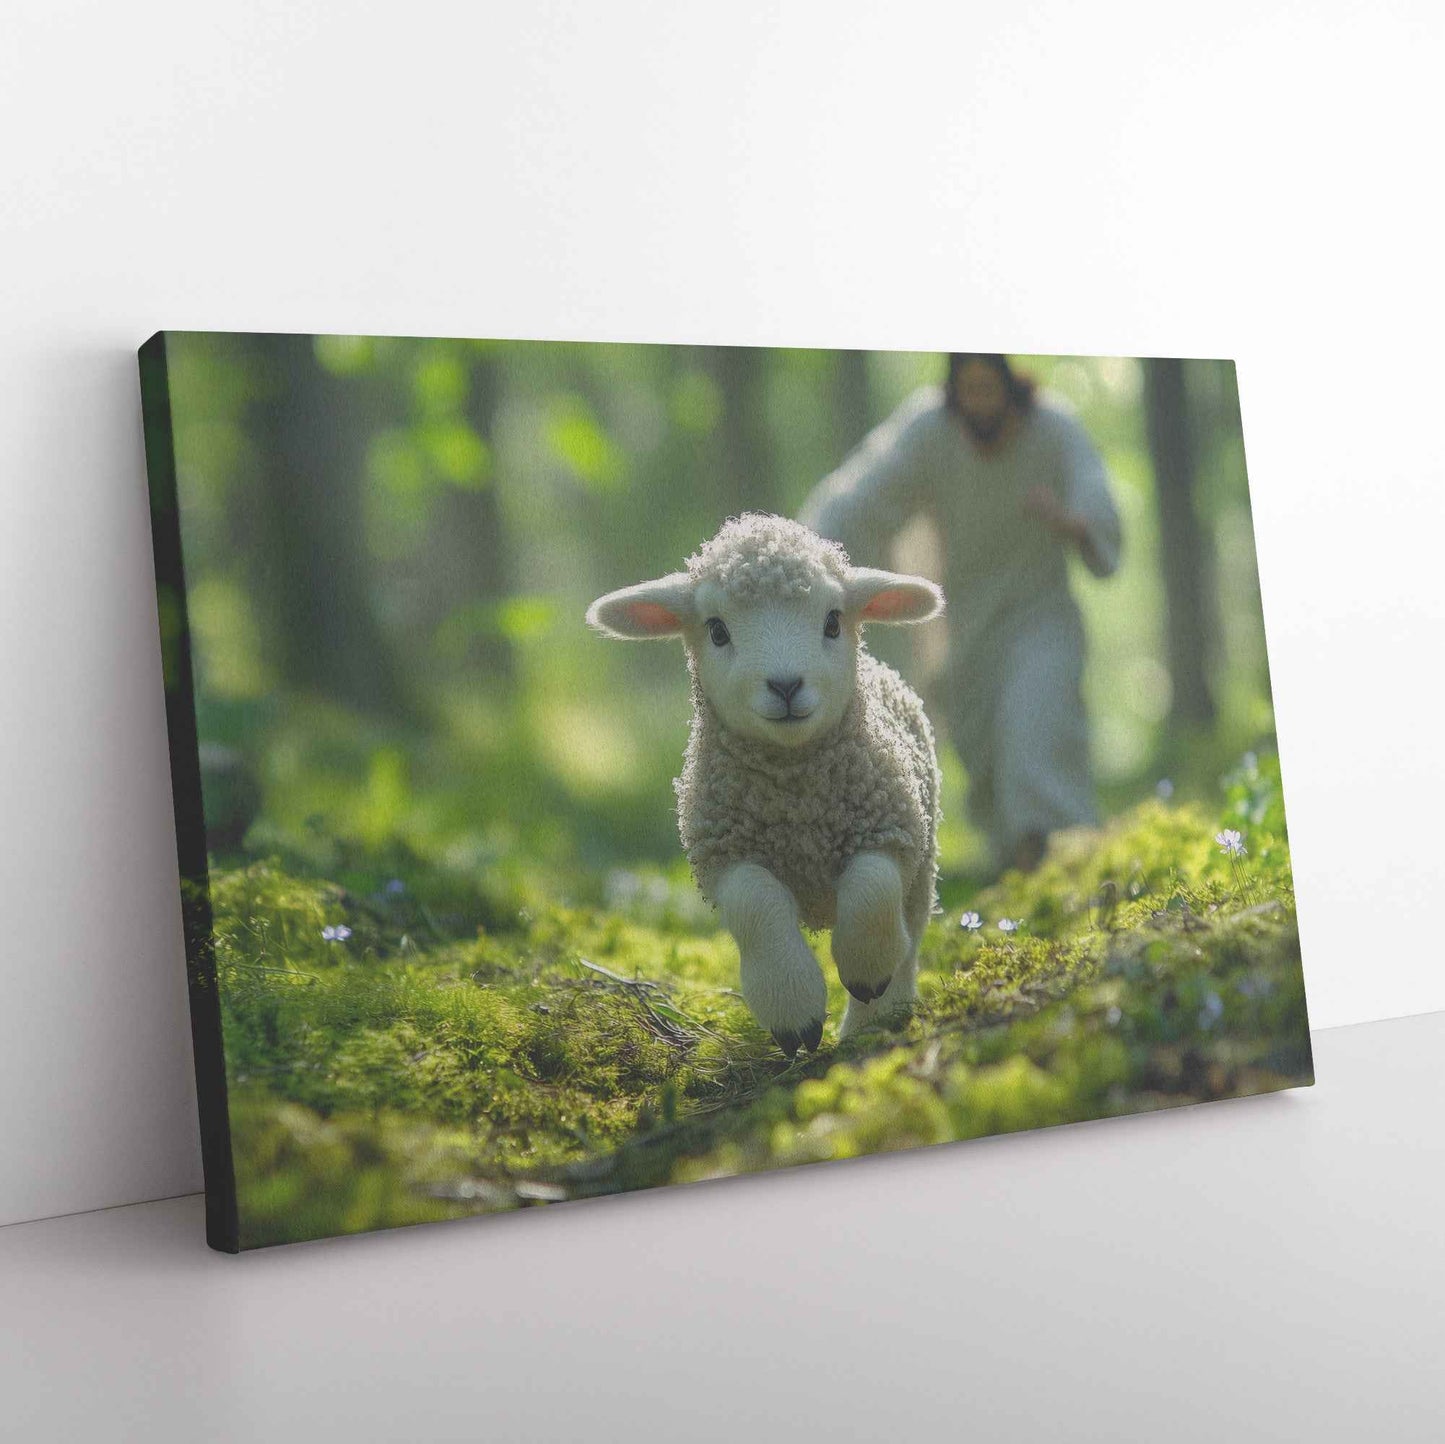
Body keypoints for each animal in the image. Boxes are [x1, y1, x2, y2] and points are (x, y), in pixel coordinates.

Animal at [586, 512, 946, 1057]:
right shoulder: (725, 853)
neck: (795, 797)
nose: (786, 684)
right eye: (717, 630)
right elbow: (758, 906)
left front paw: (865, 970)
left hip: (924, 864)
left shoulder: (891, 825)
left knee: (909, 936)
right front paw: (793, 1012)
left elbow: (872, 888)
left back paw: (876, 1022)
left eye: (833, 621)